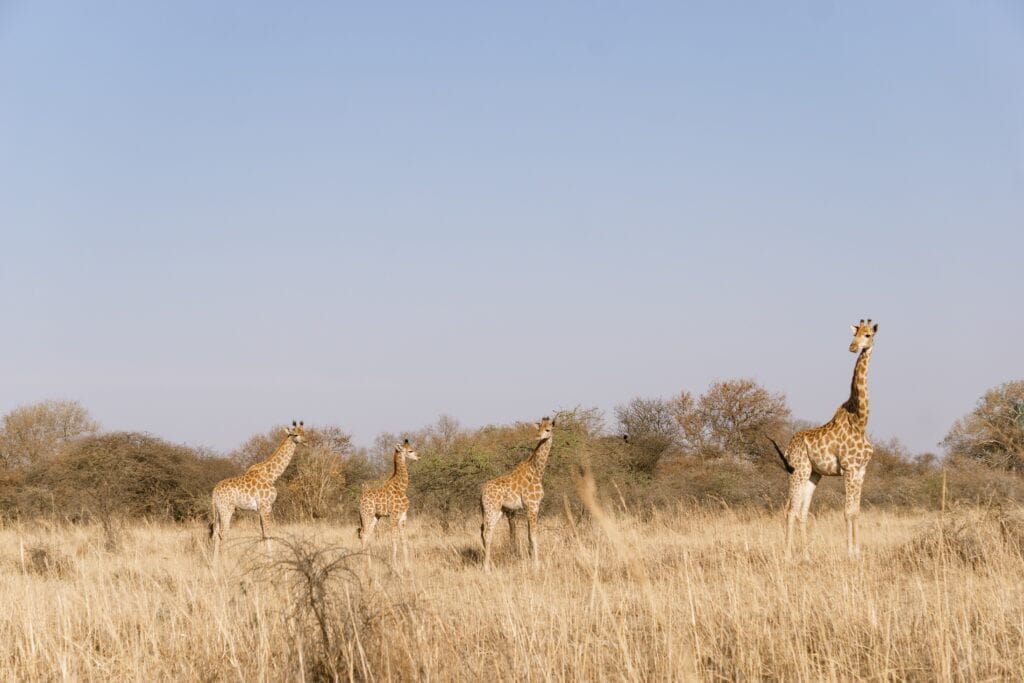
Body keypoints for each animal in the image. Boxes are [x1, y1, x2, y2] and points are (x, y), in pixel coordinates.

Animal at [206, 419, 303, 557]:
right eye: (295, 434)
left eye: (303, 432)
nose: (305, 440)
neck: (272, 475)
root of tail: (214, 492)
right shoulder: (266, 506)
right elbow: (267, 533)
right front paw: (271, 557)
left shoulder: (259, 509)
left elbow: (262, 534)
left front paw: (264, 556)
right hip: (227, 509)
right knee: (223, 533)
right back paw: (226, 558)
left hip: (218, 510)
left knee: (215, 533)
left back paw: (215, 561)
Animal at [356, 440, 419, 569]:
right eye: (410, 451)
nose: (418, 457)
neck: (402, 487)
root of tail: (361, 498)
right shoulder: (393, 516)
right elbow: (393, 539)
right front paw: (394, 565)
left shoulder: (403, 517)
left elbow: (403, 540)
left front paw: (407, 566)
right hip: (366, 514)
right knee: (363, 534)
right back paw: (364, 565)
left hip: (375, 517)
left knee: (367, 535)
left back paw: (370, 565)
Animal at [481, 417, 557, 573]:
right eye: (539, 428)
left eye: (548, 429)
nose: (538, 436)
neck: (537, 472)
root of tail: (481, 492)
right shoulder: (533, 506)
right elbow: (534, 536)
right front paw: (536, 565)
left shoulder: (530, 508)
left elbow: (528, 535)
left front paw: (531, 562)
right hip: (492, 509)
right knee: (487, 533)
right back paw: (486, 569)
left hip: (496, 511)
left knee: (485, 532)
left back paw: (488, 565)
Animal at [770, 321, 880, 561]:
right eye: (855, 334)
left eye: (868, 335)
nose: (852, 347)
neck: (861, 420)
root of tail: (789, 447)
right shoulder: (848, 469)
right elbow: (847, 512)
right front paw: (850, 553)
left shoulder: (861, 471)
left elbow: (856, 512)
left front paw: (858, 553)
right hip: (798, 471)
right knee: (790, 510)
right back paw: (787, 556)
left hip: (813, 474)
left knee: (802, 512)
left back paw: (807, 556)